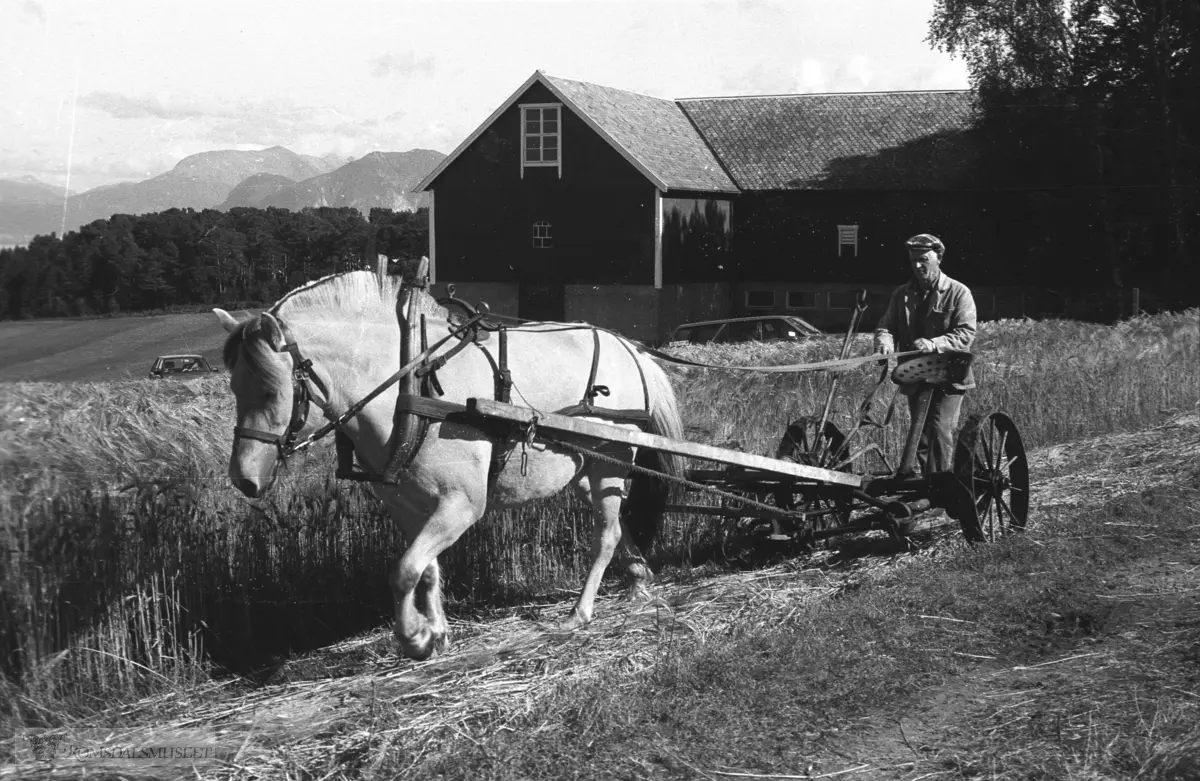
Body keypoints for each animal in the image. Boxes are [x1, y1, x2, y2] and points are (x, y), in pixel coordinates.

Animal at [213, 268, 686, 662]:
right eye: (234, 387)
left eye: (272, 392)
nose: (245, 480)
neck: (409, 386)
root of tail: (630, 349)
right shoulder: (407, 506)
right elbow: (425, 571)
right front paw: (437, 632)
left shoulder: (462, 504)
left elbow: (404, 571)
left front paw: (415, 638)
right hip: (588, 470)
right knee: (619, 523)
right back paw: (638, 578)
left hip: (613, 462)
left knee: (605, 536)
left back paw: (581, 611)